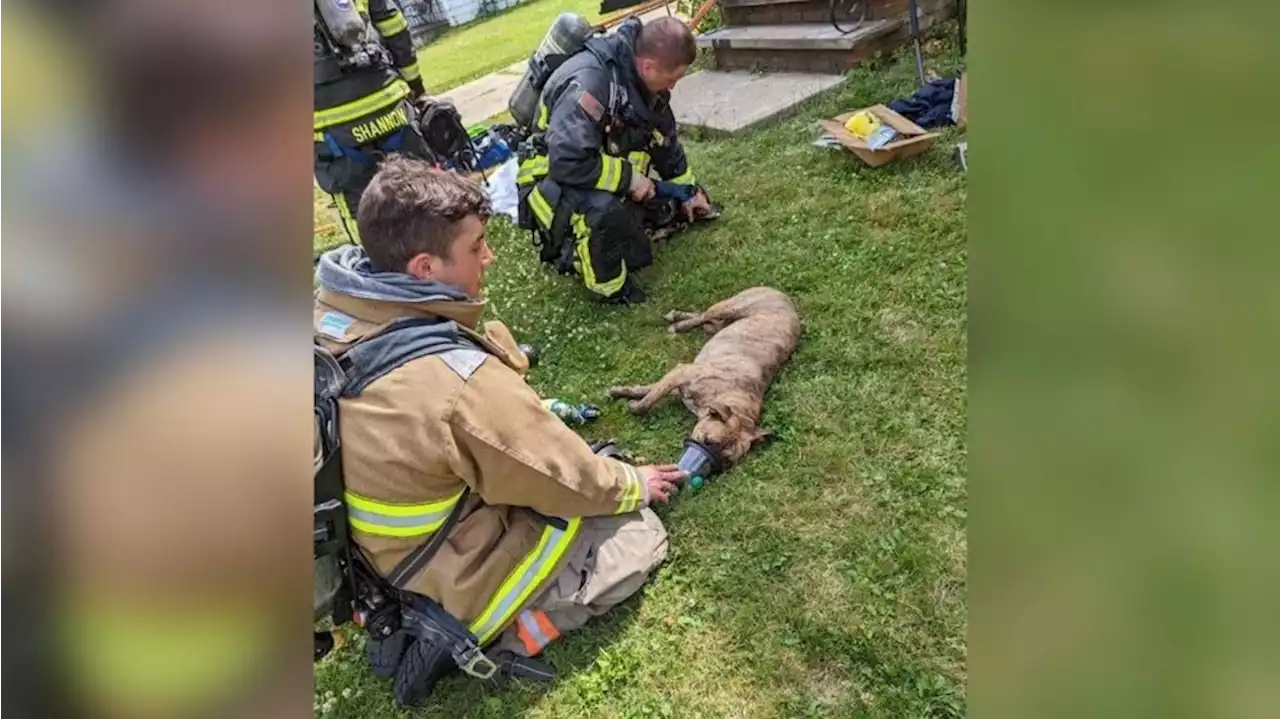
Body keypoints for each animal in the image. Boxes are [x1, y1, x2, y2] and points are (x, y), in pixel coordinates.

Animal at [604, 285, 793, 465]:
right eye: (709, 441)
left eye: (727, 461)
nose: (714, 463)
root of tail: (784, 297)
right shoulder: (680, 373)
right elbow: (649, 398)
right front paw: (632, 402)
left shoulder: (677, 384)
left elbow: (648, 390)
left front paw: (624, 393)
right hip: (729, 307)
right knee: (703, 315)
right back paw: (678, 323)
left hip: (718, 325)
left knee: (705, 319)